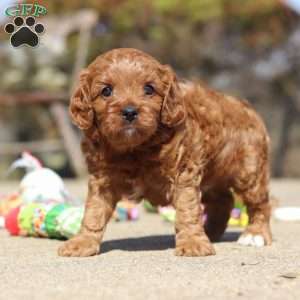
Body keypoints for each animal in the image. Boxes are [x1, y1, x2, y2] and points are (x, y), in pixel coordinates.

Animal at [57, 48, 270, 256]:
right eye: (106, 91)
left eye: (149, 89)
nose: (129, 112)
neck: (135, 148)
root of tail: (249, 108)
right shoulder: (102, 179)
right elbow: (94, 212)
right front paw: (82, 242)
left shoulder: (183, 172)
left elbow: (187, 210)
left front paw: (192, 243)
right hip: (211, 176)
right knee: (224, 200)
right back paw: (211, 232)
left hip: (249, 171)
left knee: (259, 202)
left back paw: (255, 234)